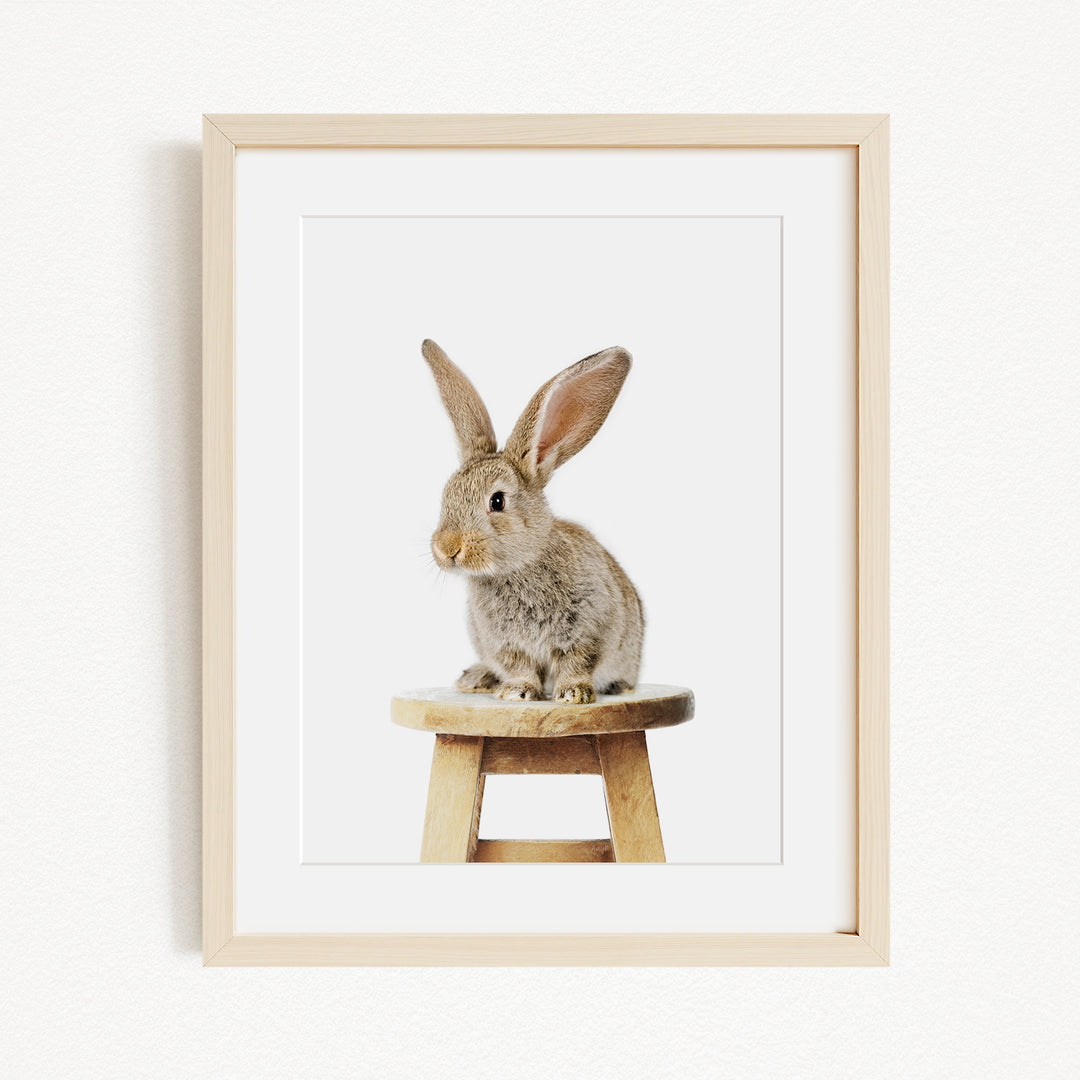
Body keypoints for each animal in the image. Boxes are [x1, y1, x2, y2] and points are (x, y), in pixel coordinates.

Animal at [423, 338, 644, 704]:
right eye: (446, 494)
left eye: (497, 501)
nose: (446, 547)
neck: (518, 567)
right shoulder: (506, 645)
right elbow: (520, 667)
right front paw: (517, 692)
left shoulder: (588, 631)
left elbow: (577, 662)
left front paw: (572, 695)